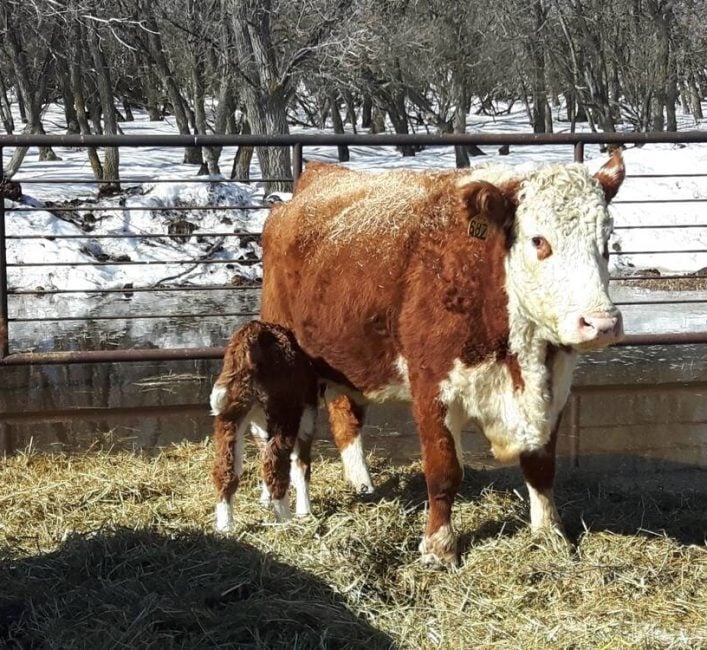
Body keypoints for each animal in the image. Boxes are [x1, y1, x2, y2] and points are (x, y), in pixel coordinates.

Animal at [210, 321, 318, 531]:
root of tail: (254, 330)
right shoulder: (307, 419)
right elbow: (301, 466)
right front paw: (304, 511)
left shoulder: (258, 426)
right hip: (286, 411)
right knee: (276, 465)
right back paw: (285, 520)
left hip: (231, 414)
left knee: (225, 469)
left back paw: (225, 526)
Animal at [259, 153, 625, 566]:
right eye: (539, 240)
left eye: (607, 241)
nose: (602, 323)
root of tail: (314, 179)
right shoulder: (432, 386)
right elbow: (443, 469)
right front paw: (438, 546)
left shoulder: (554, 385)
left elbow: (541, 466)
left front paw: (550, 535)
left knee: (346, 418)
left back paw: (362, 484)